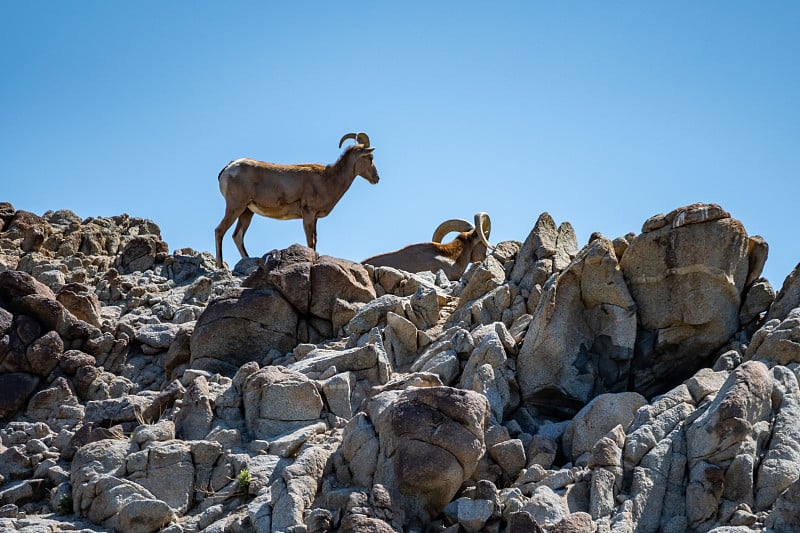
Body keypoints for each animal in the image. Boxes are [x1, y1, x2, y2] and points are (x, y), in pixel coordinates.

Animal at [214, 131, 380, 268]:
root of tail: (228, 168)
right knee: (220, 230)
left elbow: (314, 241)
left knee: (237, 236)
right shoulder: (308, 214)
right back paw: (220, 266)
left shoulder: (314, 218)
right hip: (235, 206)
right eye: (370, 157)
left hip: (247, 212)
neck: (328, 179)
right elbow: (310, 241)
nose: (376, 178)